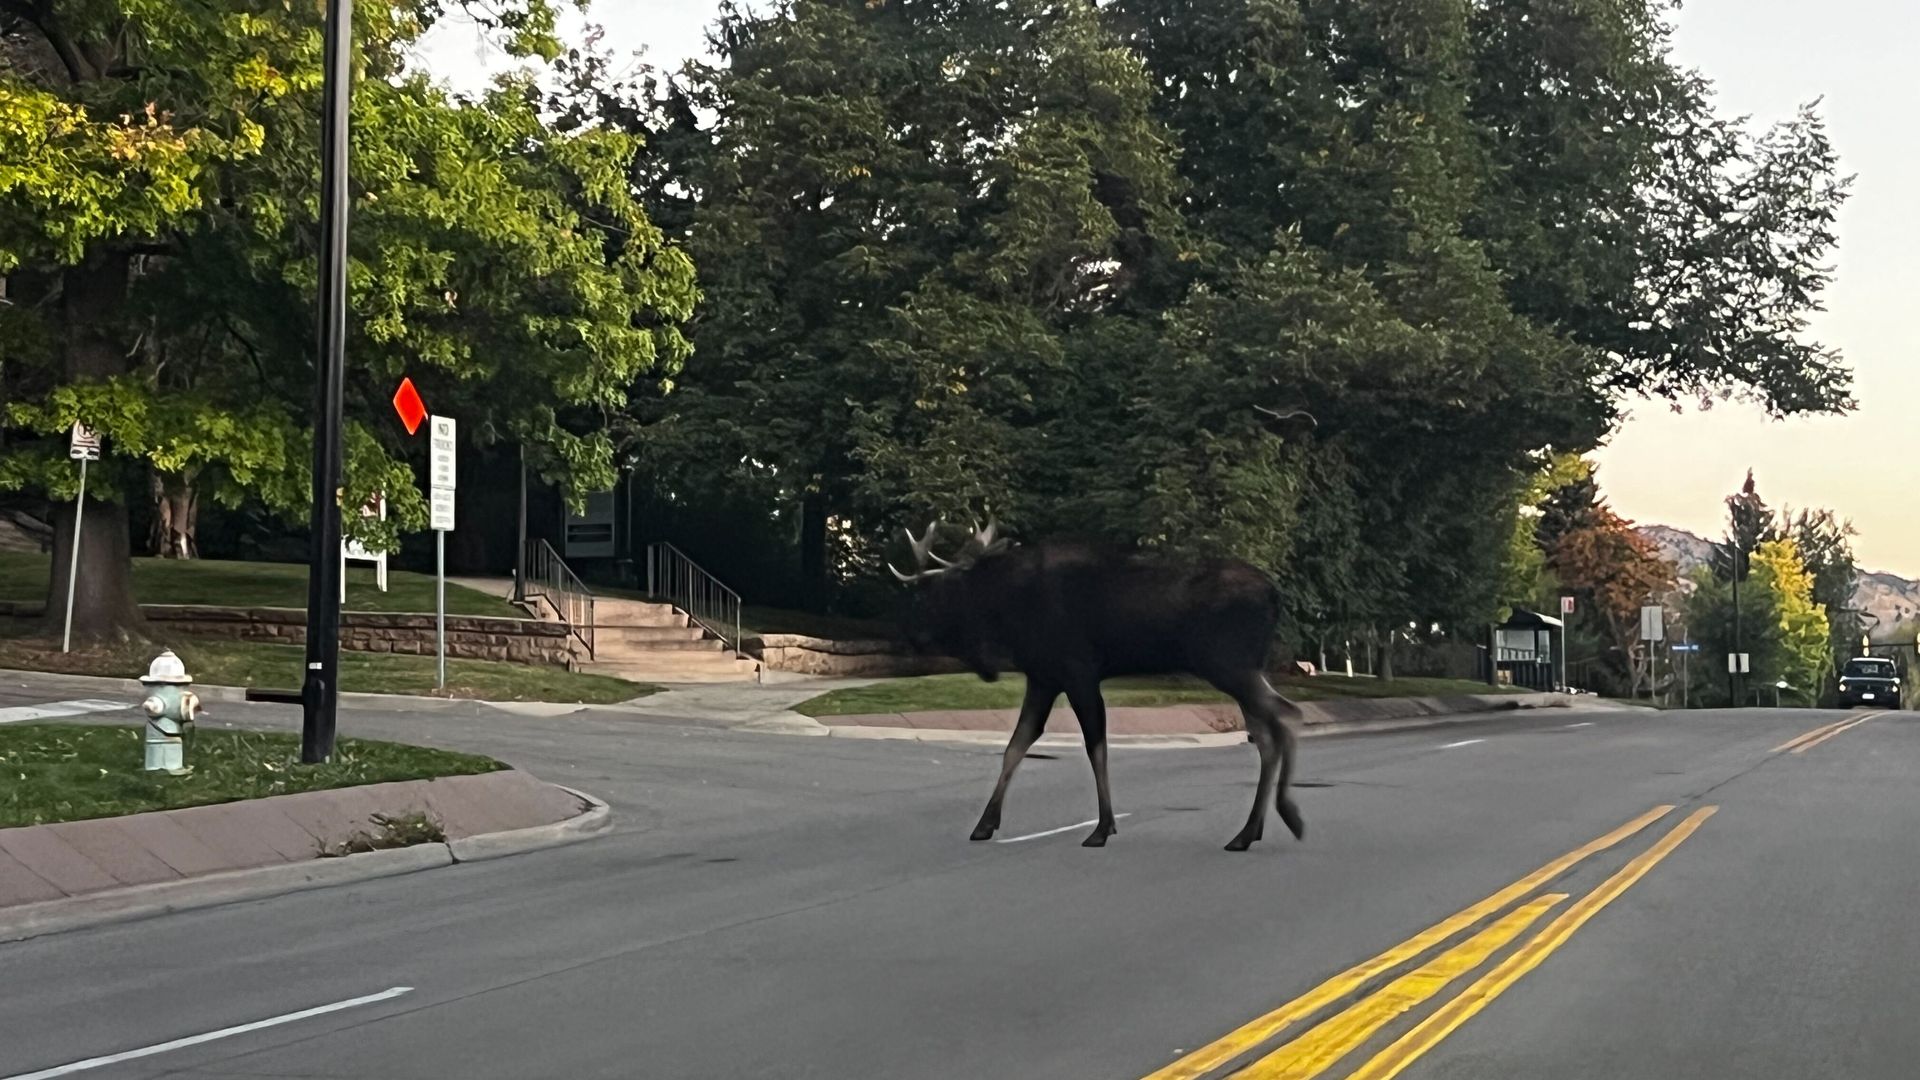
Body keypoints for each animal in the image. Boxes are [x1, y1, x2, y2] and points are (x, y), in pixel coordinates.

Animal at [889, 521, 1306, 851]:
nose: (912, 637)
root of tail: (1275, 596)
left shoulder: (1078, 673)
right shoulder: (1043, 677)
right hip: (1244, 668)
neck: (1008, 611)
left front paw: (1103, 828)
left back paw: (1287, 816)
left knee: (1287, 715)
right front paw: (985, 823)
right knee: (1267, 735)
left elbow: (1096, 749)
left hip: (1228, 664)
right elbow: (1016, 745)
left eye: (935, 591)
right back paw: (1248, 832)